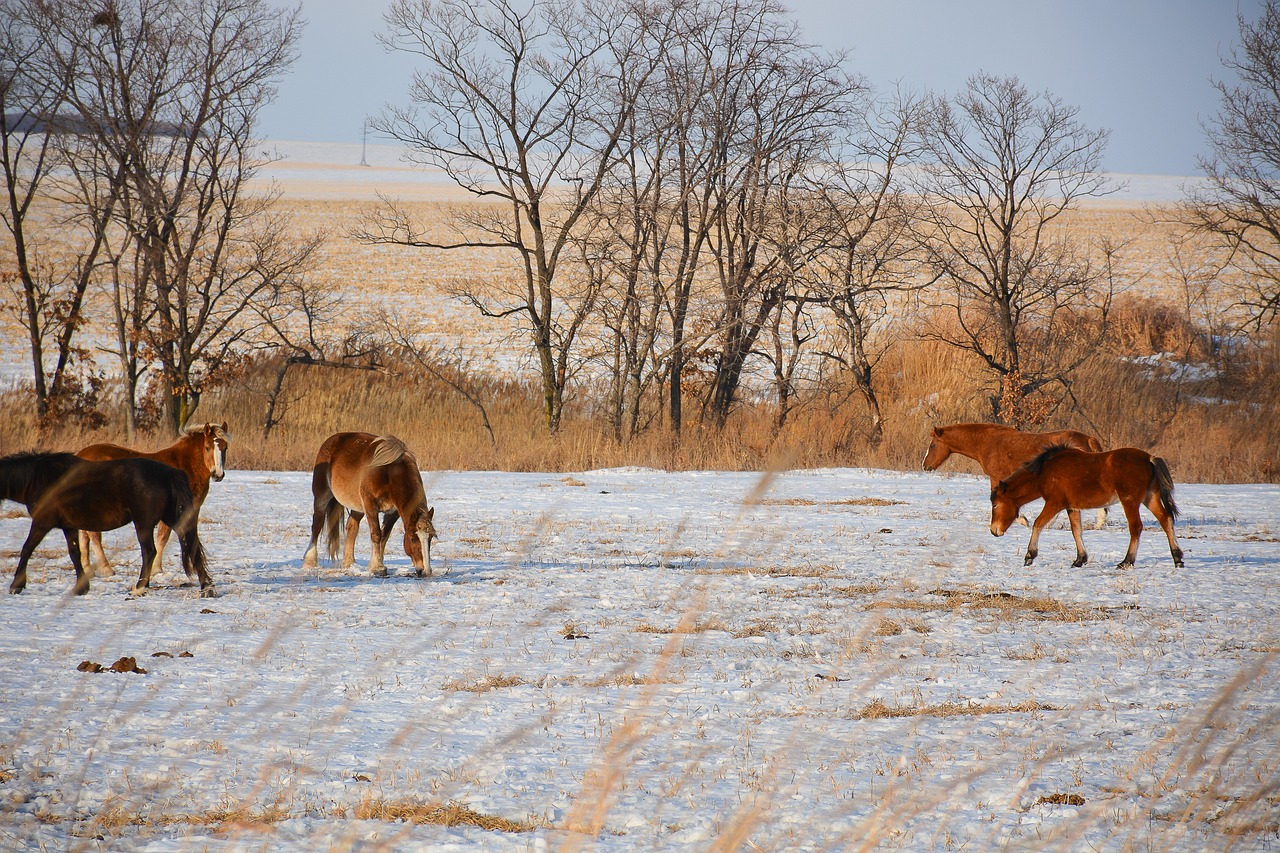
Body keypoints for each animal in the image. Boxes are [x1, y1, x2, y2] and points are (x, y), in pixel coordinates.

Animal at [0, 450, 209, 591]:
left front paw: (17, 585)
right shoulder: (68, 526)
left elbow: (27, 549)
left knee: (149, 552)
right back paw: (206, 586)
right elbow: (74, 553)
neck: (42, 479)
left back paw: (140, 587)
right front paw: (81, 587)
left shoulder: (42, 522)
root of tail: (170, 473)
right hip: (172, 518)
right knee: (191, 546)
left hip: (144, 524)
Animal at [76, 420, 229, 573]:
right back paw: (106, 568)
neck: (184, 466)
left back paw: (87, 569)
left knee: (84, 534)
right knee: (93, 535)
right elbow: (163, 537)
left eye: (225, 448)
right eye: (207, 447)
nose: (218, 475)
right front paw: (156, 568)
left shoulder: (193, 509)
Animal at [300, 432, 437, 578]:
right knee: (317, 525)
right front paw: (378, 567)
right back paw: (310, 562)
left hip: (358, 507)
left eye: (430, 538)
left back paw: (349, 563)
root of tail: (331, 440)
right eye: (413, 539)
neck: (389, 473)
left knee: (352, 527)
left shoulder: (393, 513)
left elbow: (384, 536)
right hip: (322, 496)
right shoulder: (370, 506)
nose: (425, 571)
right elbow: (376, 534)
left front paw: (377, 563)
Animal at [921, 422, 1111, 527]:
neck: (987, 443)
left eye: (932, 445)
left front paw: (1021, 519)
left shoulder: (996, 477)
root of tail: (1088, 439)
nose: (925, 465)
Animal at [988, 445, 1187, 571]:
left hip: (1130, 501)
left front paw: (1030, 555)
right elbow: (1077, 530)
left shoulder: (1054, 503)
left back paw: (1126, 561)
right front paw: (1079, 559)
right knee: (1165, 520)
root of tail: (1149, 458)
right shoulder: (1071, 507)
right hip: (1150, 498)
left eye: (995, 504)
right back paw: (1177, 558)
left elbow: (1038, 523)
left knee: (1136, 527)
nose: (993, 531)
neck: (1044, 472)